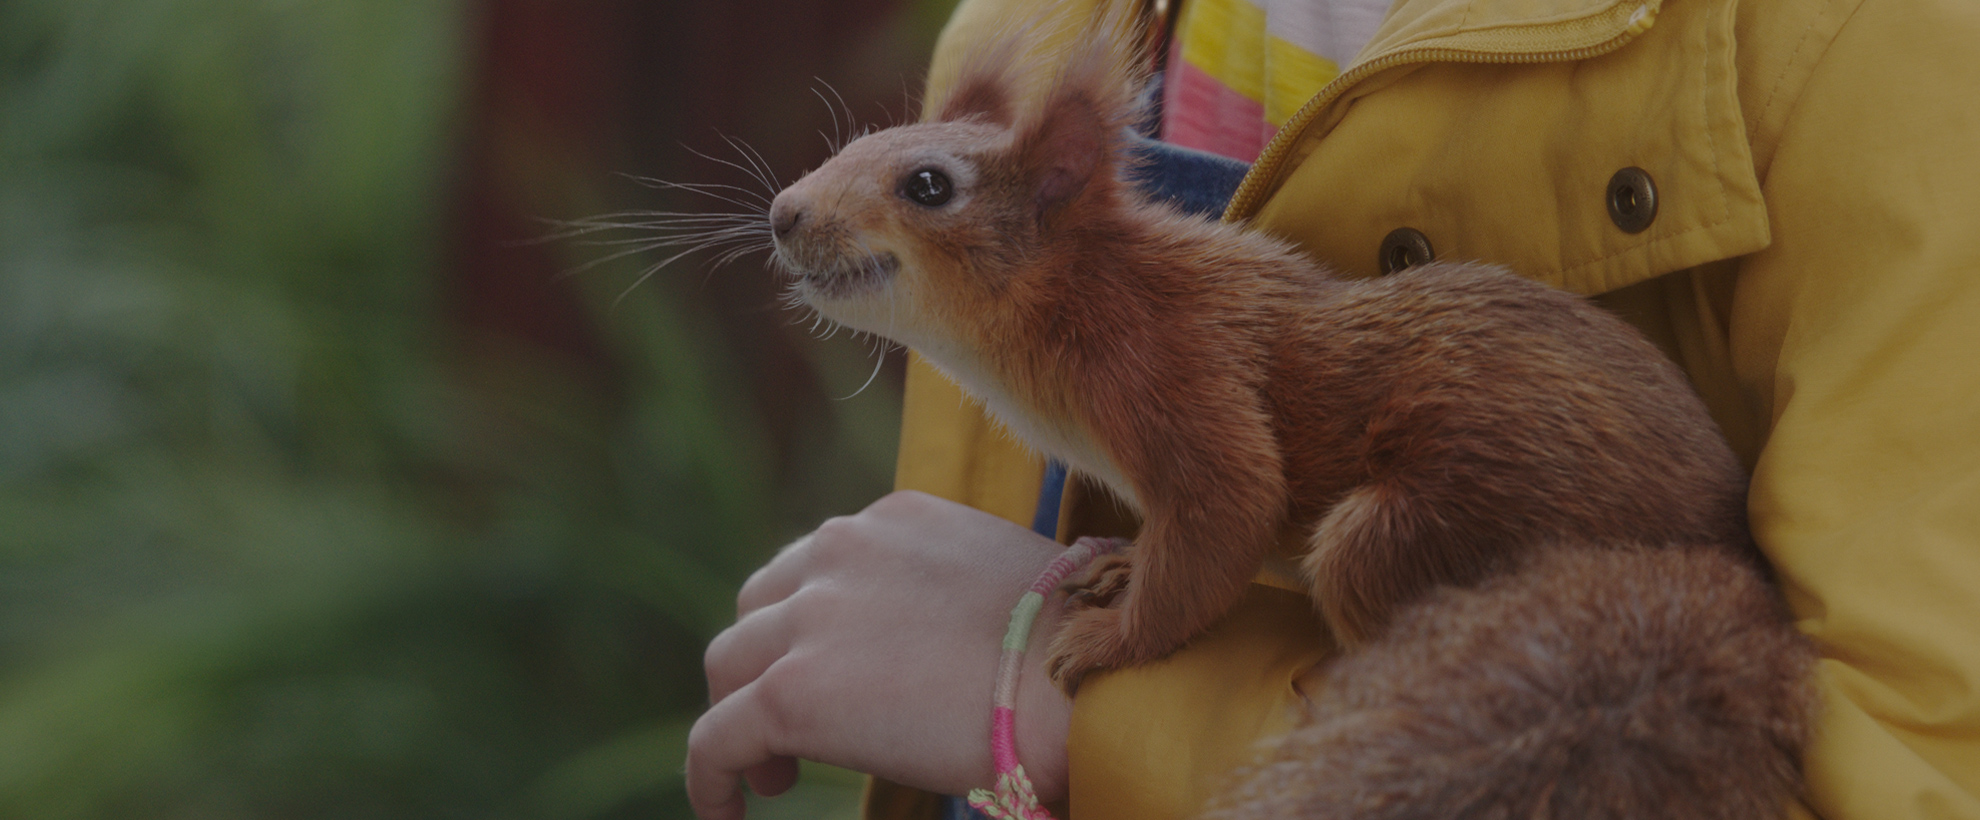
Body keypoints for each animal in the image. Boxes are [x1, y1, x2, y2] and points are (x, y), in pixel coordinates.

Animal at [756, 15, 1813, 816]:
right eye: (856, 146)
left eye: (928, 186)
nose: (783, 213)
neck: (1080, 292)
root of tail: (1719, 555)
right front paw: (1122, 566)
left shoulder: (1179, 372)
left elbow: (1228, 511)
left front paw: (1112, 642)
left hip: (1432, 523)